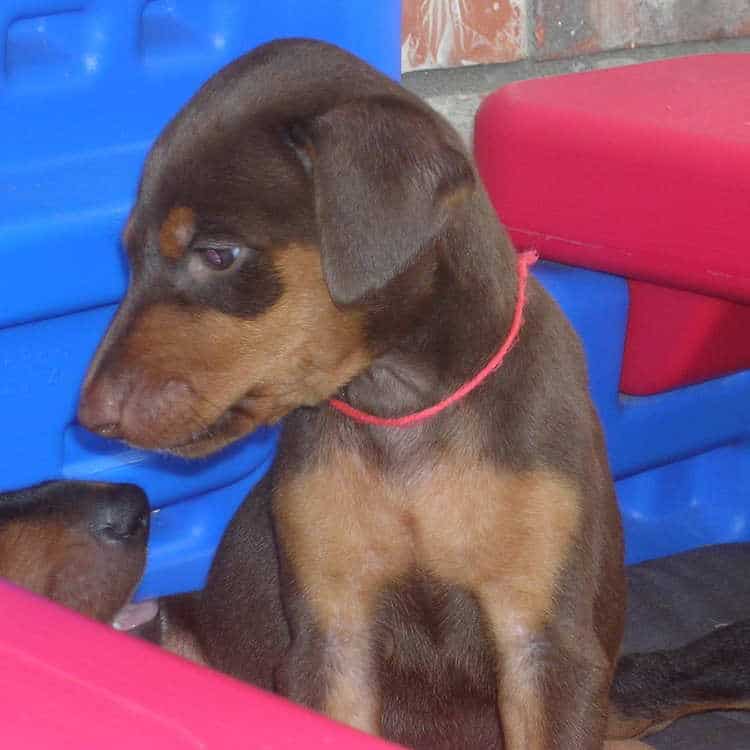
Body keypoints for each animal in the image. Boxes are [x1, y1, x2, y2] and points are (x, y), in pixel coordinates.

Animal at [73, 38, 644, 748]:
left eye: (219, 254)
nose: (90, 419)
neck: (401, 409)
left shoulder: (544, 645)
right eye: (129, 258)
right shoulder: (332, 638)